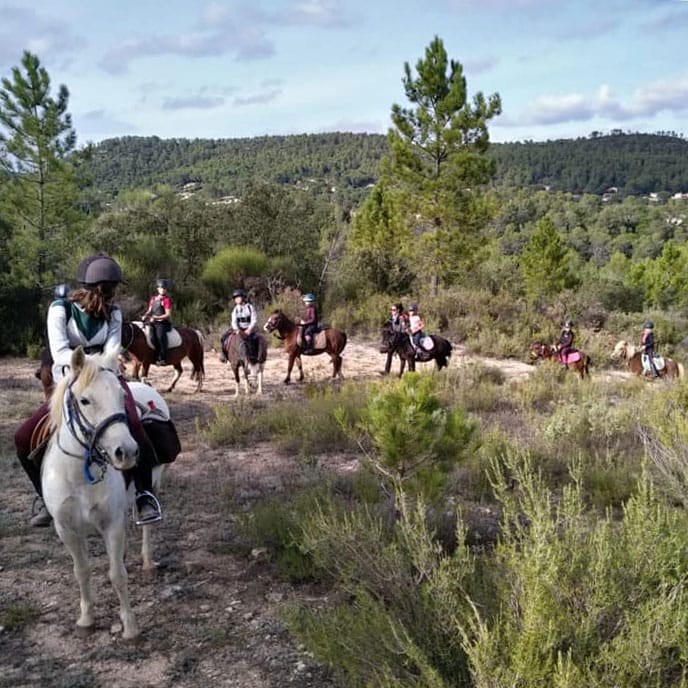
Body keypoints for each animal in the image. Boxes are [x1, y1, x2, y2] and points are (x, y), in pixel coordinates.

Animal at [42, 350, 161, 640]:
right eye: (85, 400)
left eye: (120, 395)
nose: (126, 452)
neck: (78, 475)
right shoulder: (67, 530)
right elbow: (82, 571)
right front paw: (86, 617)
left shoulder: (112, 525)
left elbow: (117, 574)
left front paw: (129, 625)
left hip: (155, 485)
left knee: (147, 527)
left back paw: (147, 562)